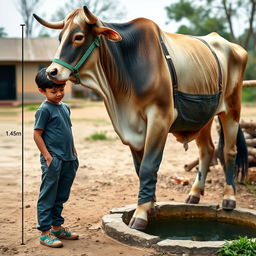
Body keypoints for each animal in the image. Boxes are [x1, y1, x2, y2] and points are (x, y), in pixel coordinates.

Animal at [34, 6, 248, 230]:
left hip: (232, 109)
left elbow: (148, 166)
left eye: (78, 37)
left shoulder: (159, 118)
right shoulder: (131, 129)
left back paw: (229, 198)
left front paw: (141, 214)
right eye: (60, 37)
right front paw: (150, 205)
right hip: (203, 117)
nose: (52, 72)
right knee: (207, 150)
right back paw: (194, 194)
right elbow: (140, 168)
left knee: (229, 151)